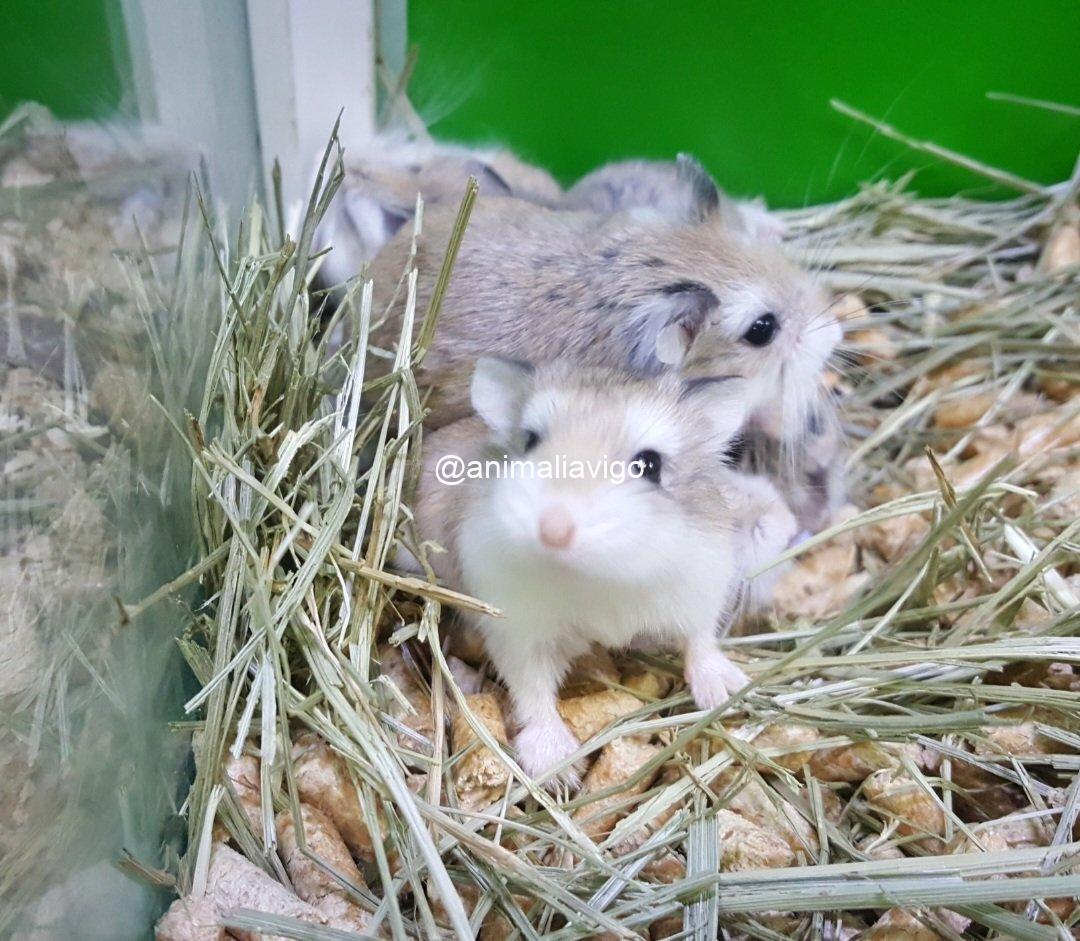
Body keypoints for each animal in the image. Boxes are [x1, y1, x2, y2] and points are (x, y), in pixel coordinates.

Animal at [404, 357, 758, 783]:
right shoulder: (519, 633)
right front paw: (557, 770)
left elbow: (699, 640)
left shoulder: (699, 588)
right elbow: (533, 690)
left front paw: (728, 691)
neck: (597, 573)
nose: (553, 530)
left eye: (650, 464)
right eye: (530, 441)